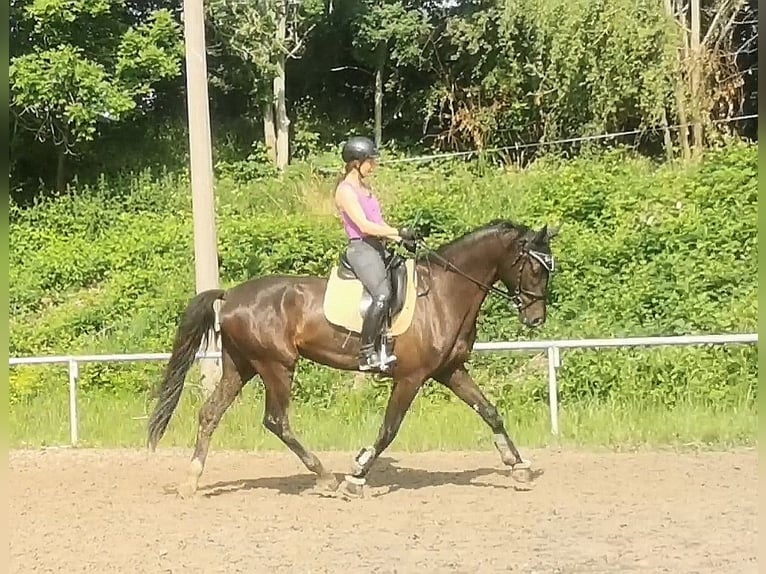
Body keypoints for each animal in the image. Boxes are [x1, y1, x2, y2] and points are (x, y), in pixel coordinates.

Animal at [147, 219, 558, 498]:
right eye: (536, 268)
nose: (536, 318)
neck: (443, 293)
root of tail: (230, 295)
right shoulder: (411, 377)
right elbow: (389, 430)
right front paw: (356, 475)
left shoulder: (449, 370)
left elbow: (489, 411)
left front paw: (518, 466)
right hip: (276, 365)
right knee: (276, 421)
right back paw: (325, 477)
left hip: (240, 365)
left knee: (210, 414)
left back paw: (191, 481)